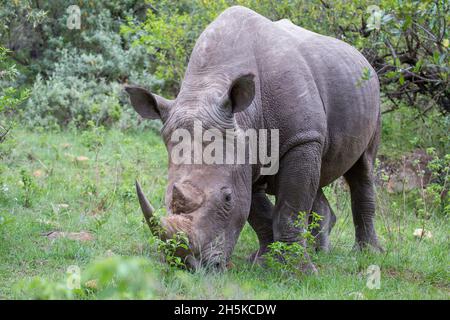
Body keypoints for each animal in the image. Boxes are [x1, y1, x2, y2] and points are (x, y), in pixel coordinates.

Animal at [125, 5, 382, 272]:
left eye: (227, 198)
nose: (190, 266)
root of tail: (361, 56)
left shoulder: (301, 139)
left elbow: (289, 210)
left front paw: (297, 270)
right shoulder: (246, 152)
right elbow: (258, 212)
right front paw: (264, 260)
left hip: (370, 91)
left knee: (362, 168)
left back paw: (366, 253)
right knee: (318, 177)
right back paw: (320, 250)